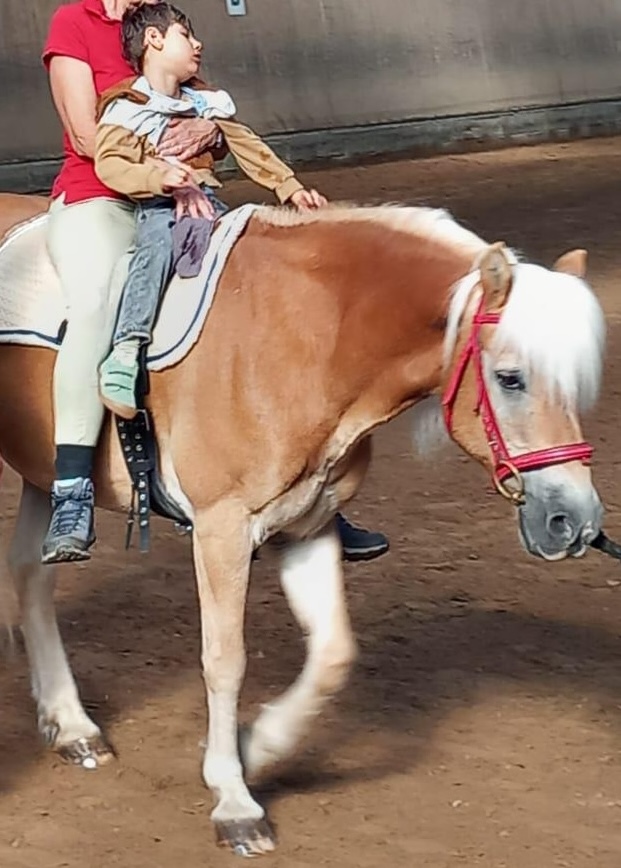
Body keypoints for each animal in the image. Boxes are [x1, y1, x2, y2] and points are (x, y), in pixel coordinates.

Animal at [0, 193, 605, 855]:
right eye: (510, 378)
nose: (575, 521)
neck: (307, 338)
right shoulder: (221, 530)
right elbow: (225, 659)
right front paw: (235, 802)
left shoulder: (307, 526)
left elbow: (334, 654)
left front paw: (256, 749)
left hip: (44, 477)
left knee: (31, 576)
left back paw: (72, 726)